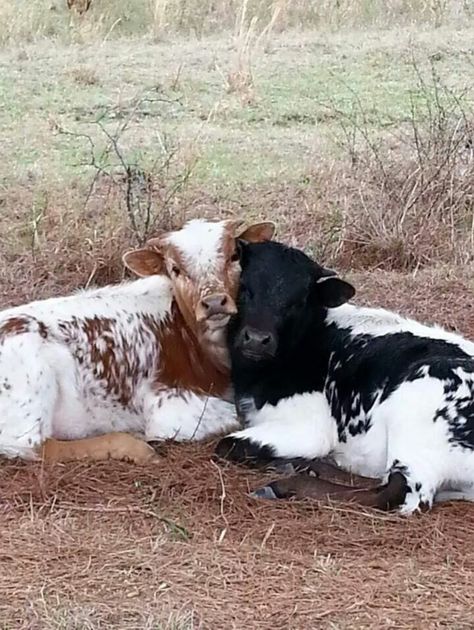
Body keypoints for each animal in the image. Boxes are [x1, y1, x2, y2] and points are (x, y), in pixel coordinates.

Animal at [0, 218, 274, 464]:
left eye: (234, 256)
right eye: (175, 269)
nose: (215, 302)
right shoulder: (167, 408)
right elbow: (239, 415)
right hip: (31, 384)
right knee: (34, 446)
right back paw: (135, 447)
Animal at [217, 239, 474, 516]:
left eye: (299, 301)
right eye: (244, 288)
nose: (256, 339)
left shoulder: (310, 428)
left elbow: (227, 445)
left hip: (416, 427)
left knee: (393, 492)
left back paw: (285, 483)